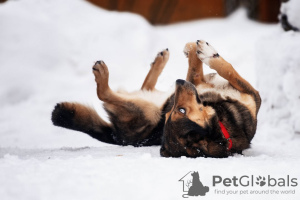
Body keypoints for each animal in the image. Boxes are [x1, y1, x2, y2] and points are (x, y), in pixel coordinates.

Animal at [51, 40, 260, 158]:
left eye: (180, 110)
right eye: (170, 112)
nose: (178, 82)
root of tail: (118, 136)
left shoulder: (201, 83)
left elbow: (217, 68)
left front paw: (198, 49)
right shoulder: (203, 83)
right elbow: (223, 67)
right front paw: (201, 50)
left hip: (148, 106)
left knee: (123, 91)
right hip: (148, 108)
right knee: (105, 93)